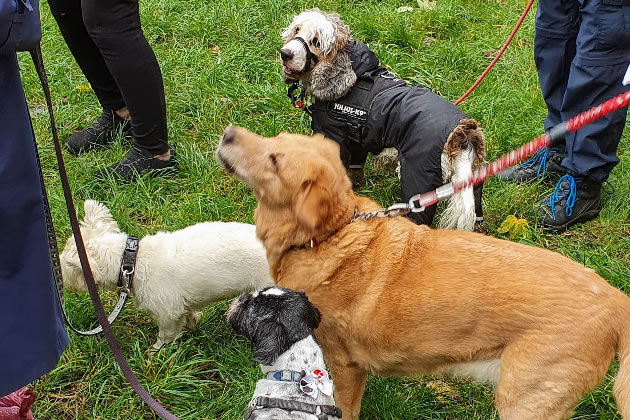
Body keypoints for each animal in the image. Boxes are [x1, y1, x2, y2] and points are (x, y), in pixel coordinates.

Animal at [60, 200, 276, 352]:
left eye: (64, 267)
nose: (62, 283)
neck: (131, 262)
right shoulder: (182, 306)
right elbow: (189, 316)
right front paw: (191, 325)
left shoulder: (166, 312)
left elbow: (165, 335)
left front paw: (156, 351)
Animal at [282, 9, 488, 230]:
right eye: (296, 29)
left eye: (317, 42)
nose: (284, 53)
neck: (351, 74)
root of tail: (463, 132)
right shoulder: (357, 144)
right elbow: (354, 171)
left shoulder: (334, 137)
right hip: (474, 183)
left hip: (418, 177)